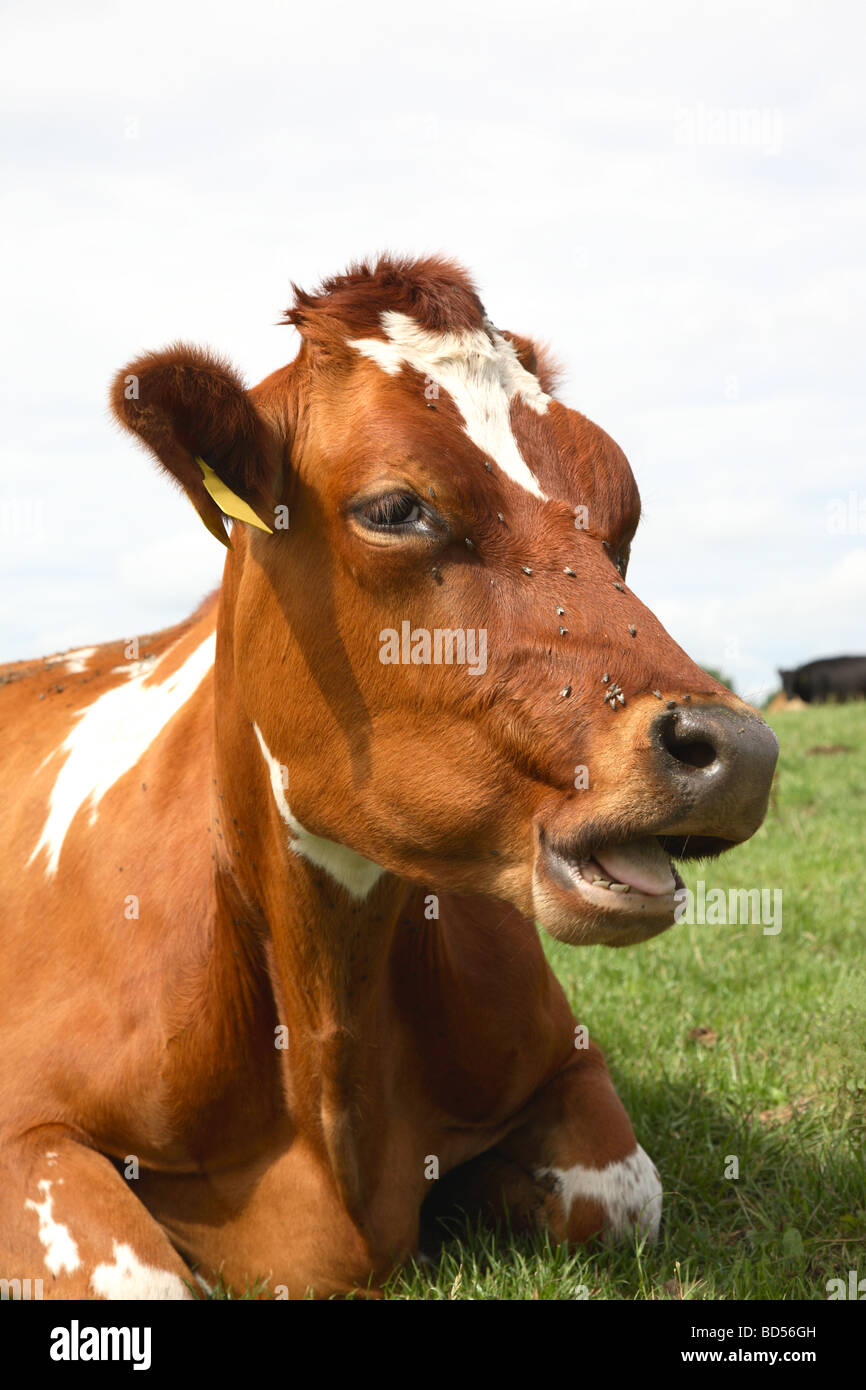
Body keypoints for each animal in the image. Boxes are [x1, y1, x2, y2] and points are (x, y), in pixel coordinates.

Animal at [0, 256, 778, 1299]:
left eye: (622, 515)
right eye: (394, 508)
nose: (737, 749)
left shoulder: (564, 1062)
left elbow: (619, 1199)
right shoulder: (26, 1127)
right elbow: (147, 1279)